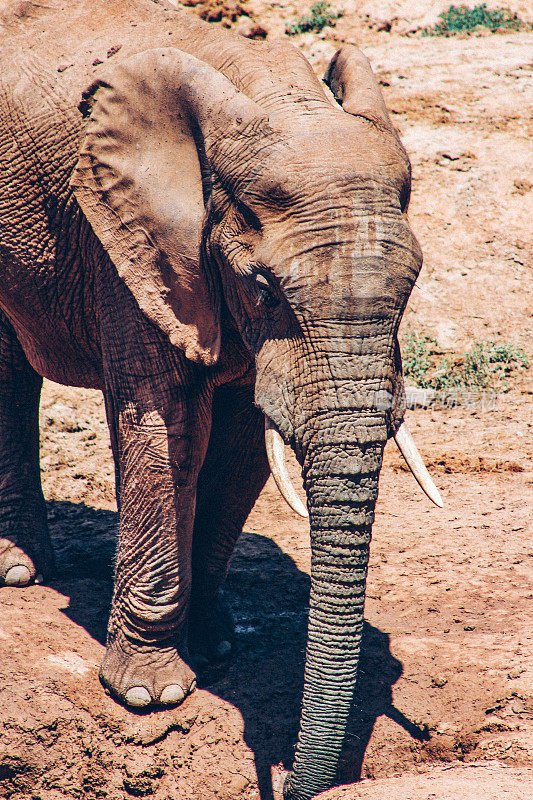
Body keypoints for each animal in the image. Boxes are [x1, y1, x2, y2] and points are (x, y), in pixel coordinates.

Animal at [0, 1, 440, 800]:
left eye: (414, 280)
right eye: (265, 287)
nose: (297, 781)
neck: (276, 100)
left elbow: (242, 442)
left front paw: (215, 646)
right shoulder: (129, 239)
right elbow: (166, 426)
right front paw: (151, 693)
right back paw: (20, 572)